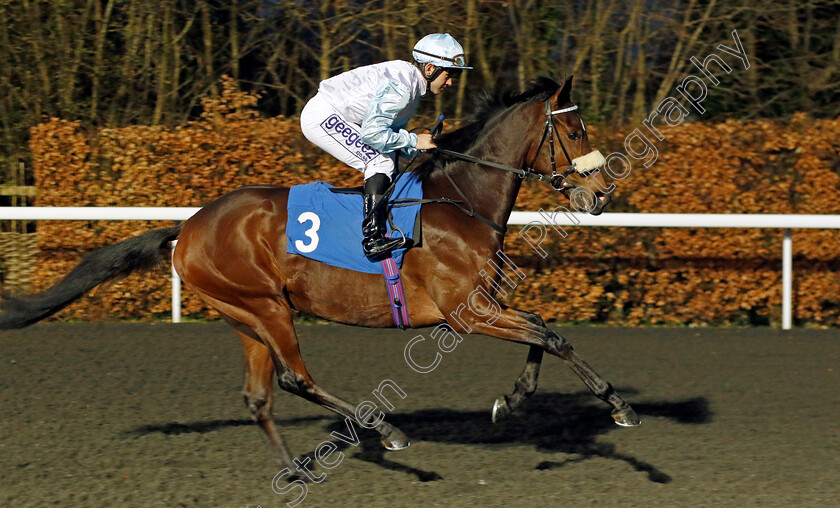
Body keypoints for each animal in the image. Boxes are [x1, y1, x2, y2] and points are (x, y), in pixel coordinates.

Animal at [0, 75, 640, 476]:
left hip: (245, 316)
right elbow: (551, 335)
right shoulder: (466, 314)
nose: (602, 194)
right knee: (294, 380)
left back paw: (294, 468)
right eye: (575, 131)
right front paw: (617, 405)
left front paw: (512, 400)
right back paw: (384, 431)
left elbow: (541, 331)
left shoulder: (486, 306)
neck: (460, 201)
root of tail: (189, 227)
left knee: (260, 395)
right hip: (266, 307)